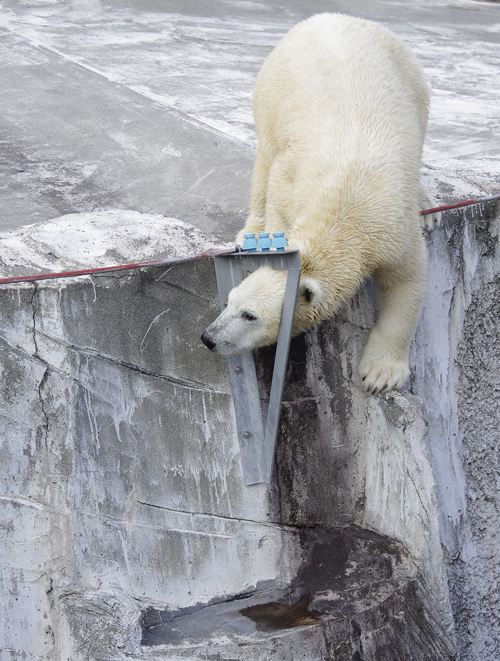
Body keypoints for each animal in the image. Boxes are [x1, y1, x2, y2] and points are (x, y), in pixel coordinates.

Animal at [201, 14, 440, 392]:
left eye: (249, 314)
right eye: (229, 300)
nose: (209, 337)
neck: (342, 209)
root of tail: (326, 17)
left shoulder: (392, 228)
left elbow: (407, 281)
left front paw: (379, 375)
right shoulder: (290, 183)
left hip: (410, 77)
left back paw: (427, 210)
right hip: (272, 90)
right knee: (264, 159)